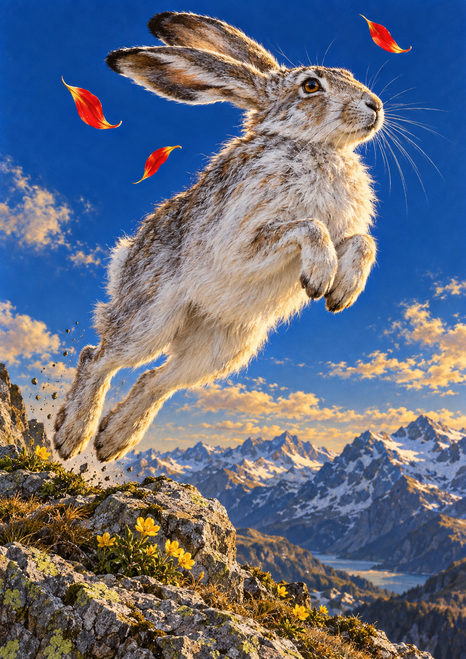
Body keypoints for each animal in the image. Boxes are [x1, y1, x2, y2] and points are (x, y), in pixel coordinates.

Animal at [53, 11, 384, 462]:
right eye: (311, 86)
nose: (375, 106)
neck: (318, 146)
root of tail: (124, 267)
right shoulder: (240, 239)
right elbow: (306, 227)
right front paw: (320, 278)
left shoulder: (344, 233)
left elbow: (361, 242)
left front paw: (342, 290)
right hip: (149, 320)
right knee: (99, 357)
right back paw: (72, 435)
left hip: (223, 347)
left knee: (158, 380)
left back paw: (113, 440)